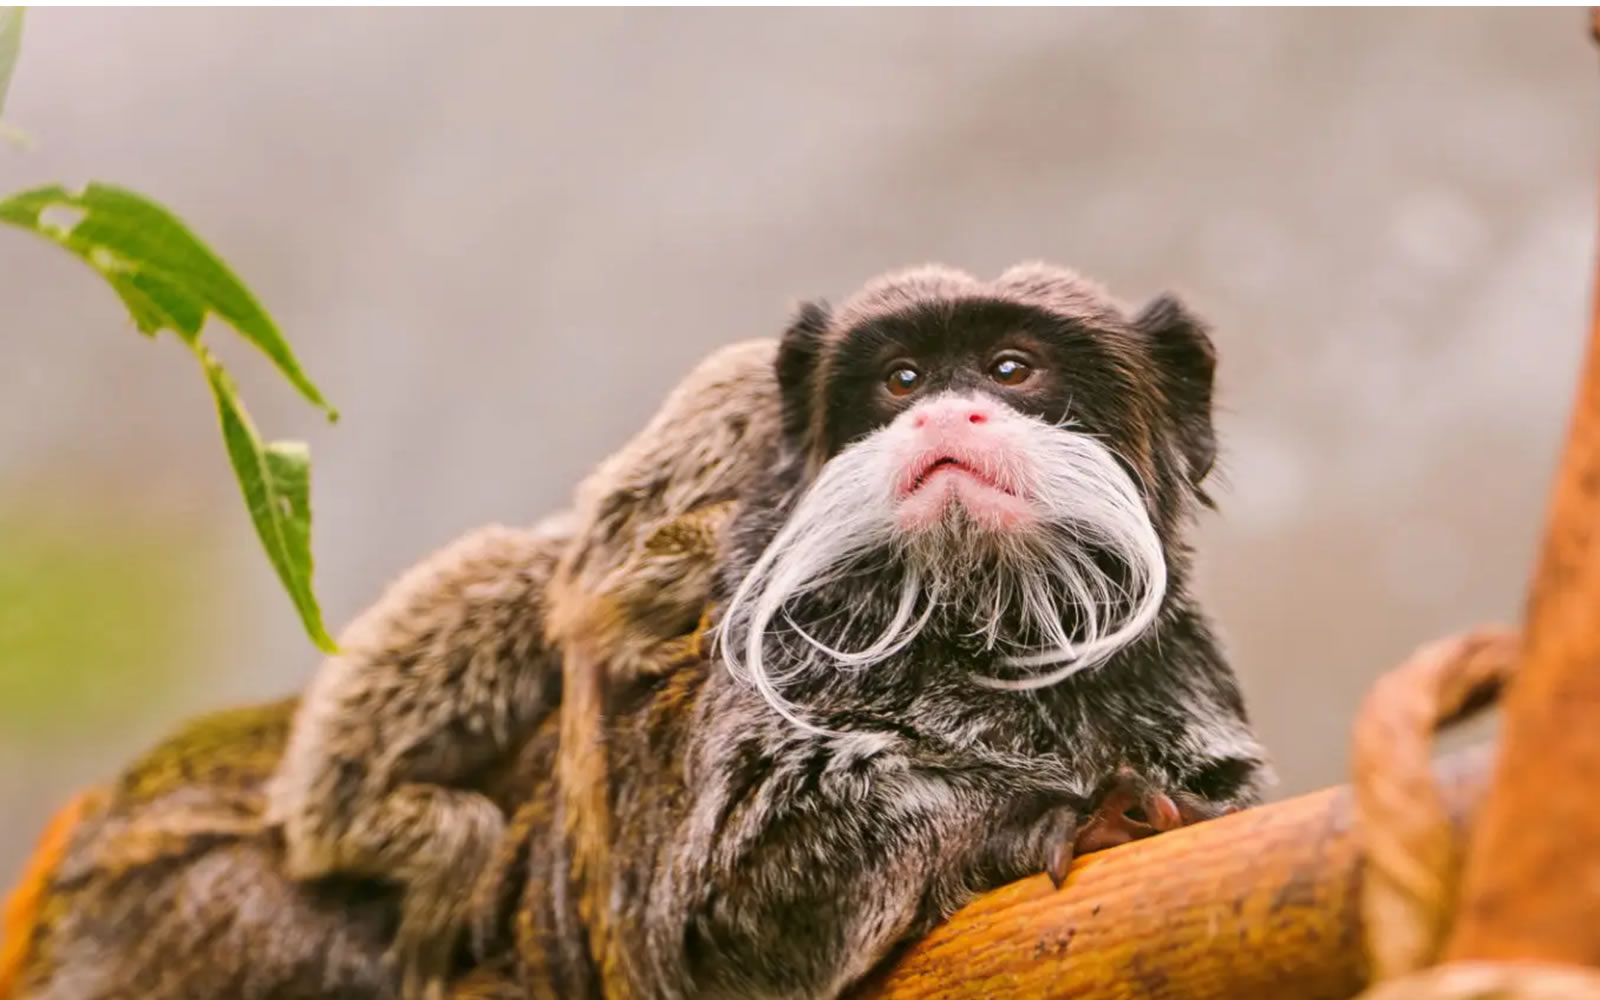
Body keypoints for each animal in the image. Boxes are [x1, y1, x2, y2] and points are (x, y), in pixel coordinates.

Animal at [491, 261, 1273, 1000]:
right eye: (903, 380)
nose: (942, 415)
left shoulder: (1181, 672)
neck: (986, 629)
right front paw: (1070, 820)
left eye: (1010, 369)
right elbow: (720, 917)